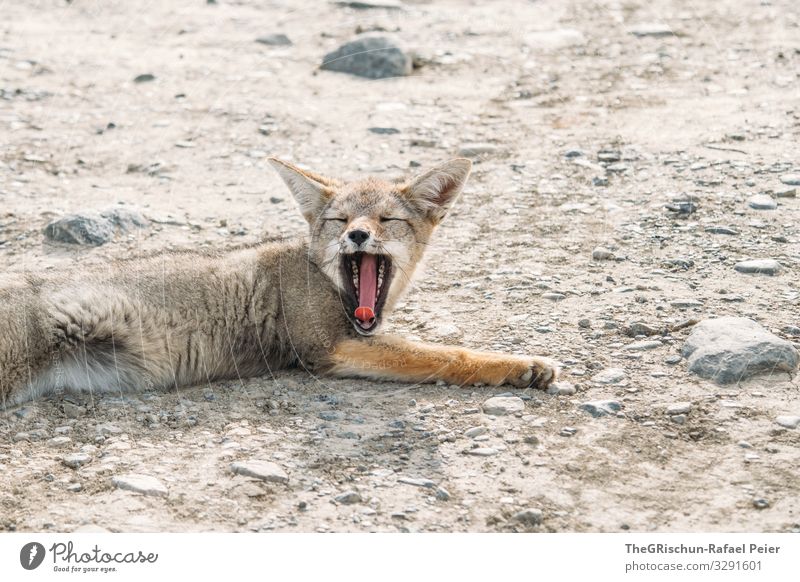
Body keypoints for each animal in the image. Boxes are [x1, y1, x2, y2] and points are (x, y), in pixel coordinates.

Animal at [0, 157, 560, 408]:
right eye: (339, 221)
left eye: (386, 220)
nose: (358, 235)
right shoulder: (328, 348)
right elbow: (448, 354)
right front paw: (519, 365)